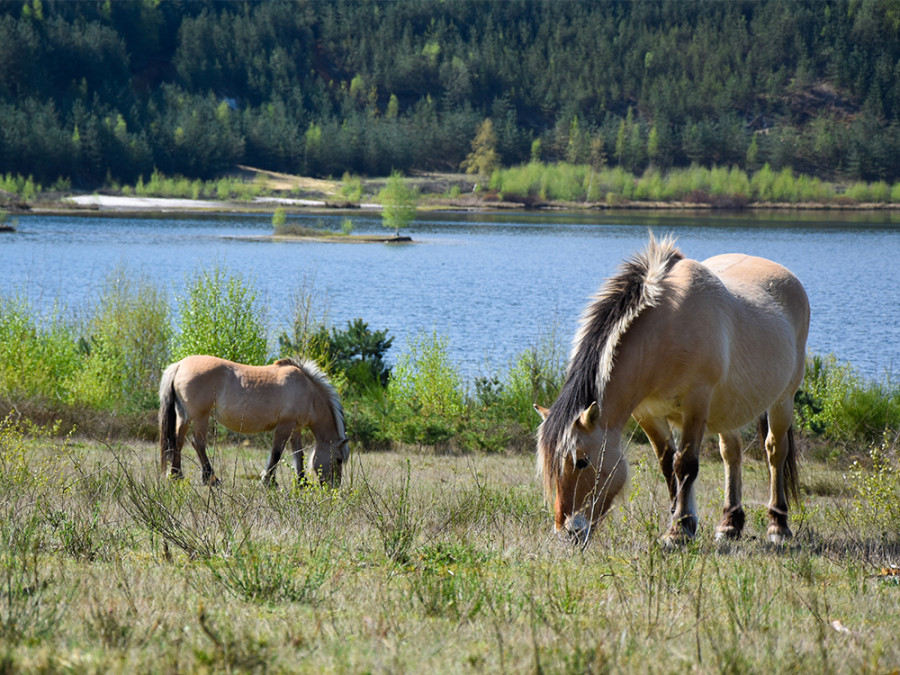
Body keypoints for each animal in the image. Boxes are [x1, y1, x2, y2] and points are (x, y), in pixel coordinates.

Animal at [158, 356, 348, 488]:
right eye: (338, 459)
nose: (333, 487)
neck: (308, 392)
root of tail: (179, 365)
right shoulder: (285, 426)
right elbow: (276, 453)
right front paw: (269, 481)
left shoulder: (296, 429)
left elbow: (298, 455)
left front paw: (302, 483)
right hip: (200, 417)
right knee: (198, 443)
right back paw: (211, 479)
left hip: (184, 417)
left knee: (177, 441)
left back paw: (176, 475)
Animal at [536, 235, 808, 548]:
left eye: (581, 461)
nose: (567, 532)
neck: (666, 328)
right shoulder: (647, 413)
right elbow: (668, 466)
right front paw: (681, 521)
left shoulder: (696, 405)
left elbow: (685, 465)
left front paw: (678, 531)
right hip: (728, 408)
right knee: (731, 454)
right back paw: (730, 524)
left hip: (783, 400)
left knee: (775, 452)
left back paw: (778, 526)